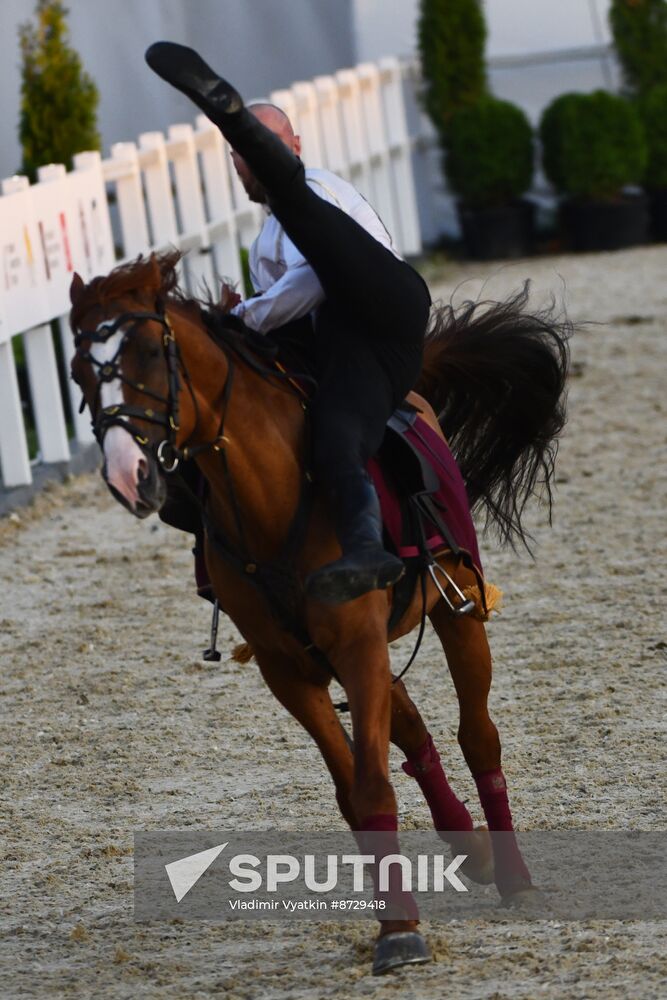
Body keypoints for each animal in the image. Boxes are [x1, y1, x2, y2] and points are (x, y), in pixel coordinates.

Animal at [68, 252, 568, 976]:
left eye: (149, 353)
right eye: (79, 371)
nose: (126, 473)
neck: (272, 496)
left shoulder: (357, 644)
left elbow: (372, 786)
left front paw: (400, 930)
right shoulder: (291, 669)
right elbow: (352, 792)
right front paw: (394, 918)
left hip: (456, 608)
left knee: (478, 736)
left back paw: (513, 877)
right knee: (413, 729)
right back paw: (467, 846)